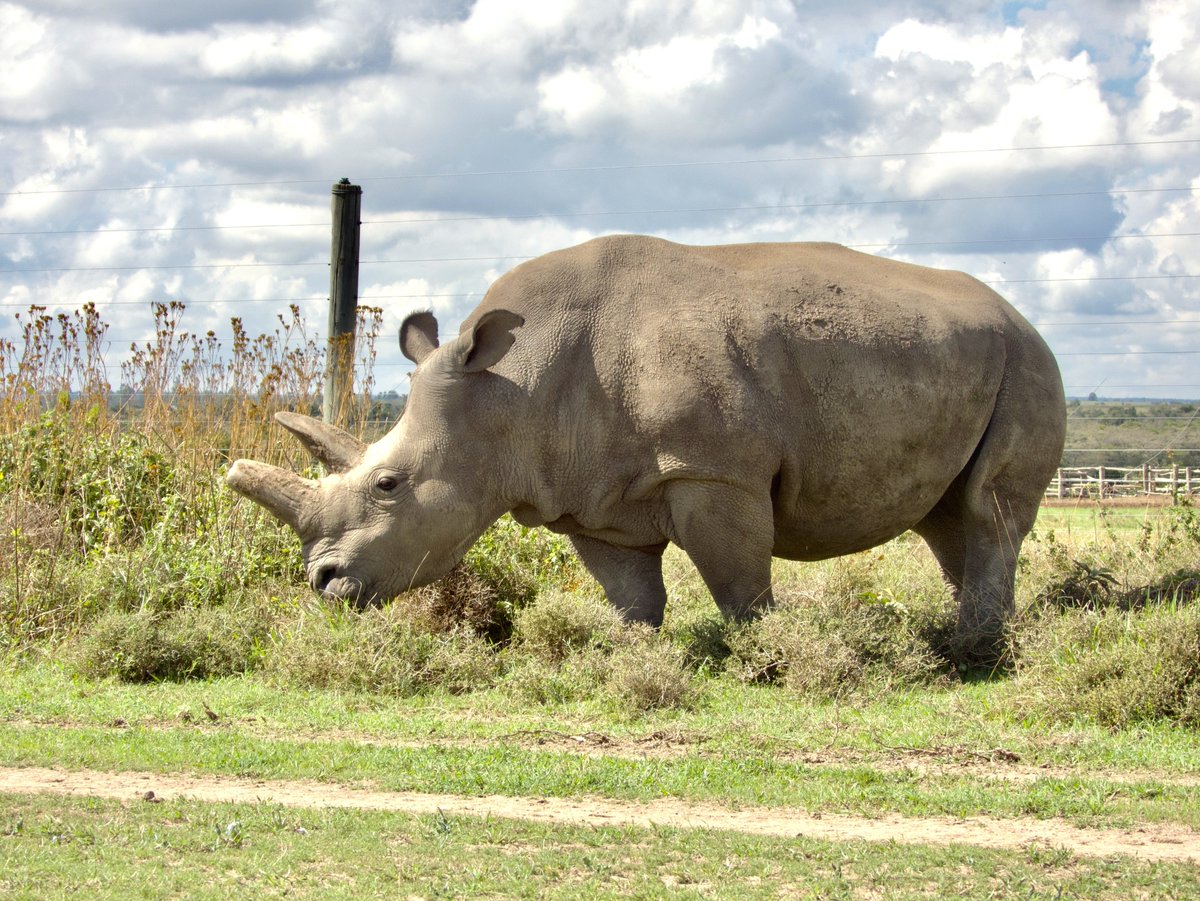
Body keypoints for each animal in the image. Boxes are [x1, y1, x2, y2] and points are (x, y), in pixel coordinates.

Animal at [227, 235, 1066, 664]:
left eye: (390, 485)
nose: (322, 581)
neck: (506, 391)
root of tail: (1020, 314)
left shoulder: (713, 468)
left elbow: (738, 583)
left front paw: (764, 654)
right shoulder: (586, 493)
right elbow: (630, 592)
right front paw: (633, 656)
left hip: (1026, 359)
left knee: (987, 509)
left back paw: (979, 648)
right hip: (964, 355)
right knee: (946, 516)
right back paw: (967, 639)